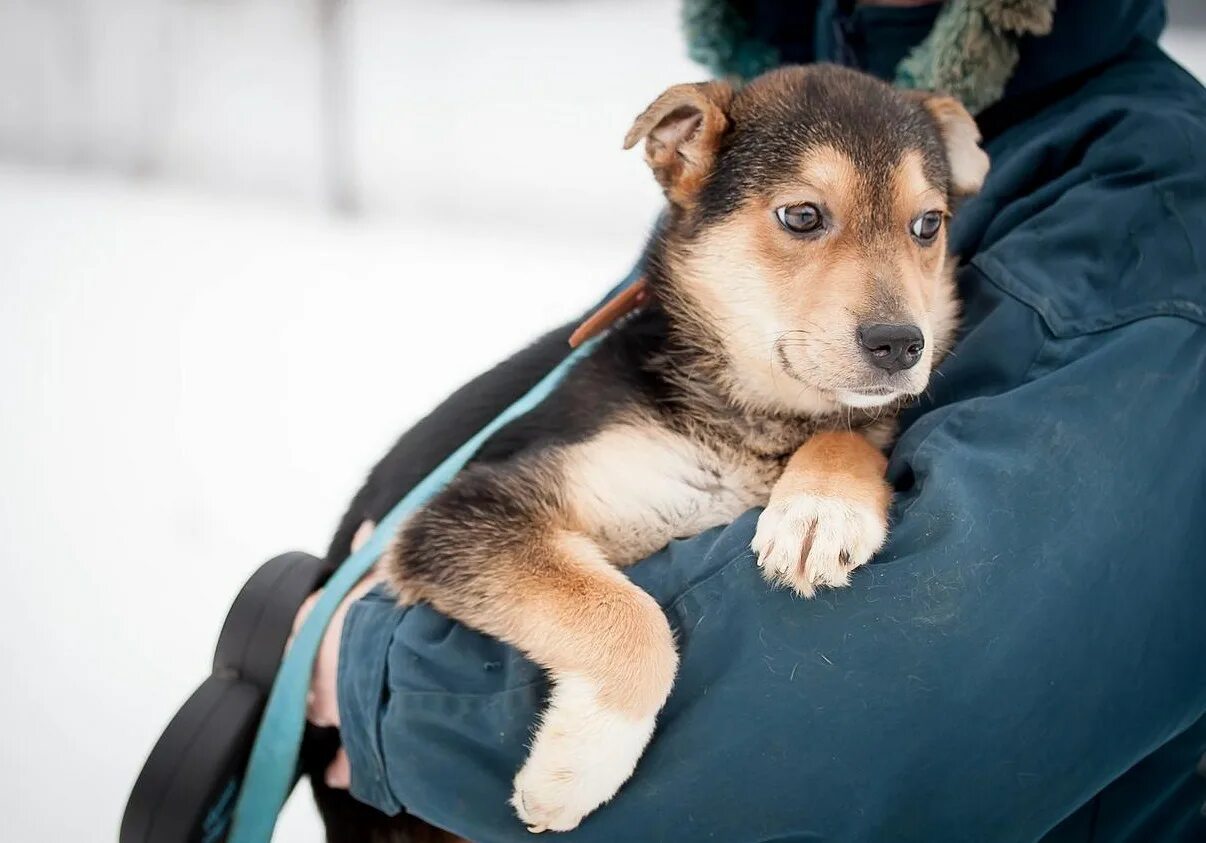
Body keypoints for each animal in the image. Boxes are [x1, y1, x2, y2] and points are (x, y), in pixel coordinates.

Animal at [381, 64, 984, 829]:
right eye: (802, 217)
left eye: (927, 225)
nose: (902, 344)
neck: (753, 416)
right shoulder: (466, 510)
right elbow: (629, 615)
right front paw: (578, 763)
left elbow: (844, 435)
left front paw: (821, 509)